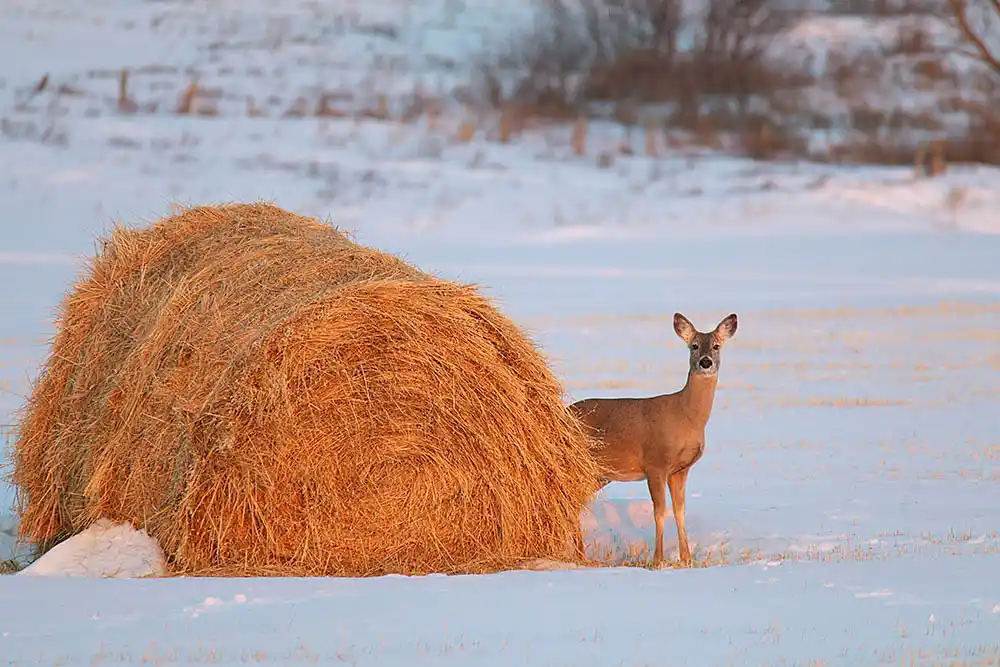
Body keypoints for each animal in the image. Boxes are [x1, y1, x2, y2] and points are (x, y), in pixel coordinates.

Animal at [570, 312, 738, 568]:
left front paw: (686, 559)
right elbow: (659, 512)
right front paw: (658, 560)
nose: (705, 362)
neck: (686, 418)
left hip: (598, 474)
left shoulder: (680, 469)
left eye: (716, 346)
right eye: (693, 345)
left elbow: (679, 511)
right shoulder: (655, 463)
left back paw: (580, 555)